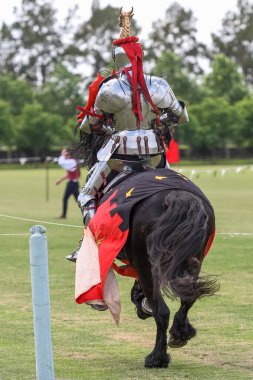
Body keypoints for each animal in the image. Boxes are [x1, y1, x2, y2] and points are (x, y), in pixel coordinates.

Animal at [73, 133, 219, 368]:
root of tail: (177, 198)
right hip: (192, 260)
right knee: (187, 297)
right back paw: (179, 333)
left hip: (147, 264)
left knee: (162, 311)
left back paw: (157, 357)